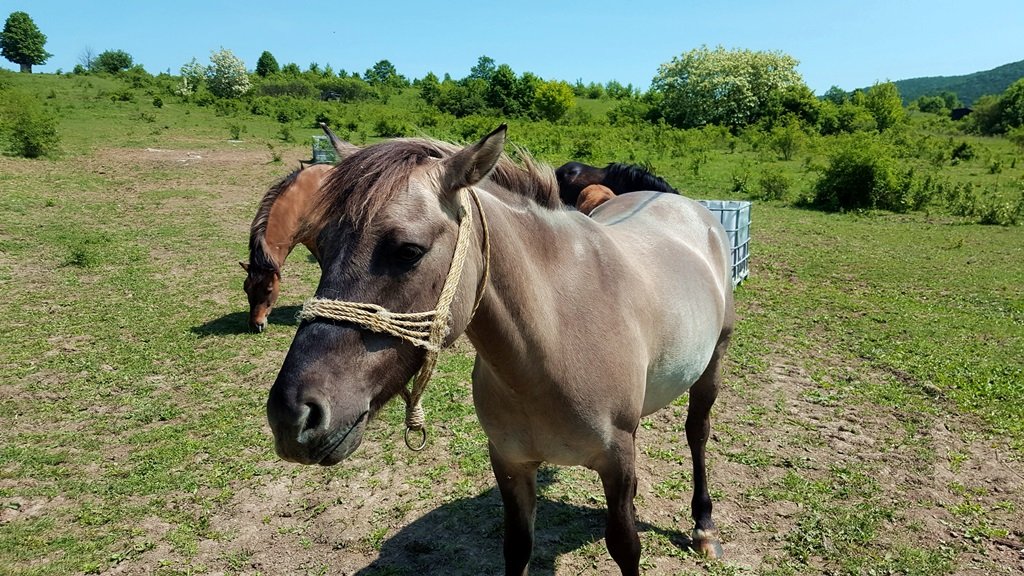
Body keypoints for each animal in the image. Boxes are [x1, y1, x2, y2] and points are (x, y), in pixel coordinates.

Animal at [262, 126, 729, 573]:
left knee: (697, 432)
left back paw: (704, 526)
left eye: (408, 251)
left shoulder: (615, 461)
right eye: (321, 247)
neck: (554, 341)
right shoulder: (510, 463)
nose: (292, 414)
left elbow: (626, 546)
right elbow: (517, 547)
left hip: (713, 365)